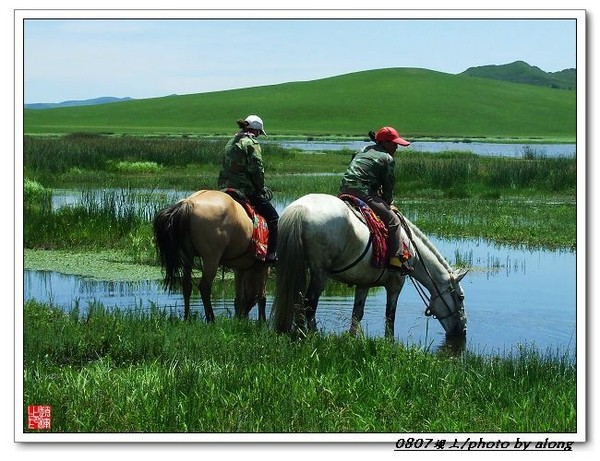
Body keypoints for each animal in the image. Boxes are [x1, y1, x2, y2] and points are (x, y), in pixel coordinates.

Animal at [154, 190, 268, 320]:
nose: (243, 316)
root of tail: (189, 203)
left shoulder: (240, 269)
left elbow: (239, 297)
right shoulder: (262, 266)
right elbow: (261, 297)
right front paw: (262, 321)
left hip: (187, 255)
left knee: (186, 285)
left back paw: (187, 318)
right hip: (211, 259)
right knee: (205, 287)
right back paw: (211, 319)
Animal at [272, 193, 468, 338]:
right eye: (460, 297)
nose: (463, 330)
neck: (411, 247)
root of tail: (299, 209)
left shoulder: (363, 283)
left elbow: (356, 314)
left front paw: (351, 339)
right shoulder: (396, 284)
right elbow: (390, 317)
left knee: (297, 300)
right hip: (320, 272)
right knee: (310, 303)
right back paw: (313, 335)